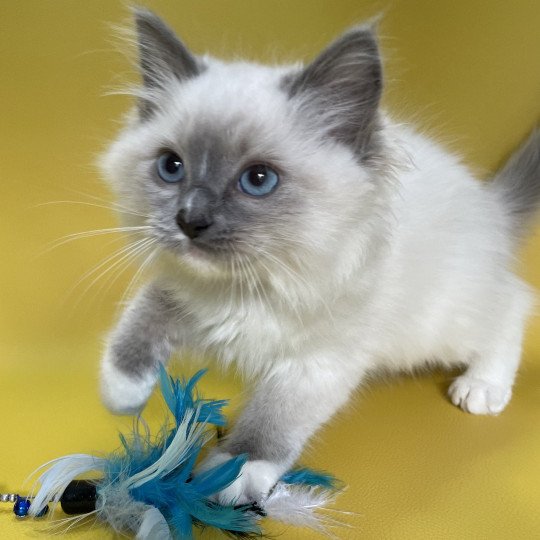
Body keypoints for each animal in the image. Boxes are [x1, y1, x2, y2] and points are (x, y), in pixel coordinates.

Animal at [100, 9, 540, 506]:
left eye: (258, 180)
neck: (247, 286)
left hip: (441, 325)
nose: (190, 219)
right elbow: (141, 317)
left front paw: (235, 474)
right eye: (171, 167)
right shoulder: (182, 289)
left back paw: (482, 388)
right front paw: (122, 389)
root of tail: (490, 204)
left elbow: (273, 420)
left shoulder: (316, 363)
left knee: (514, 305)